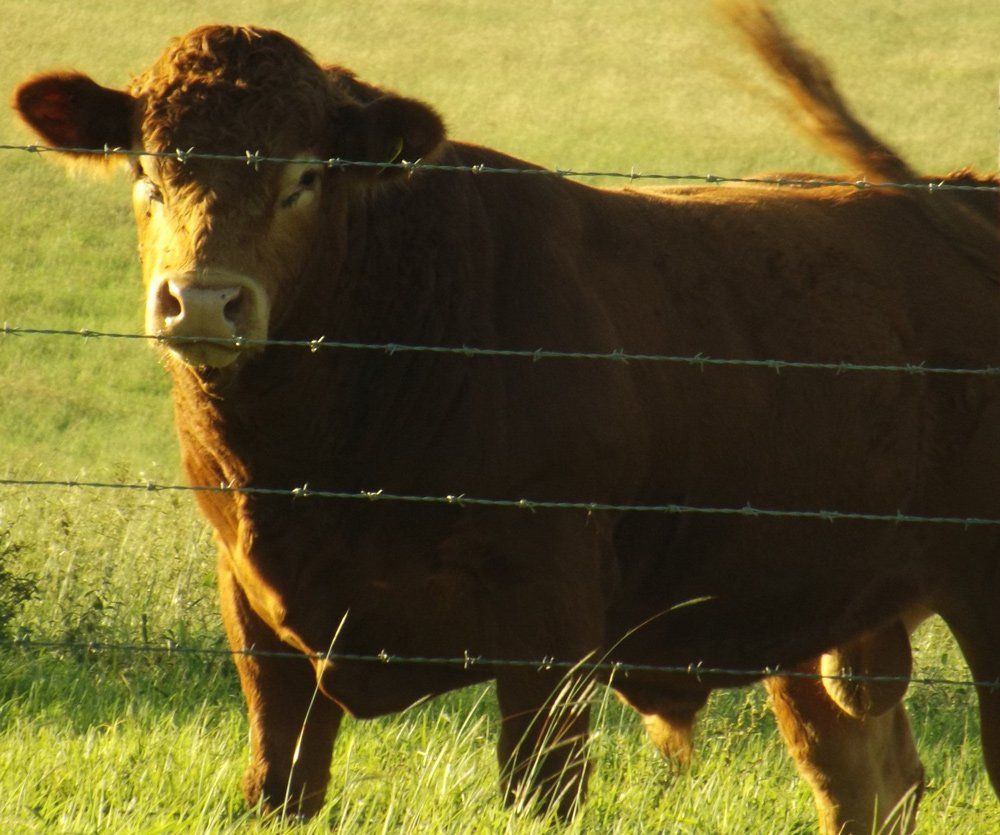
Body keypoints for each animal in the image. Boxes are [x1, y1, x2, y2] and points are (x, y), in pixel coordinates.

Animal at [12, 3, 999, 832]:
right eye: (145, 170)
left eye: (305, 177)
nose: (204, 303)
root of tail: (956, 192)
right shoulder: (260, 627)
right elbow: (279, 784)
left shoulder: (550, 634)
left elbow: (539, 792)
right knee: (866, 782)